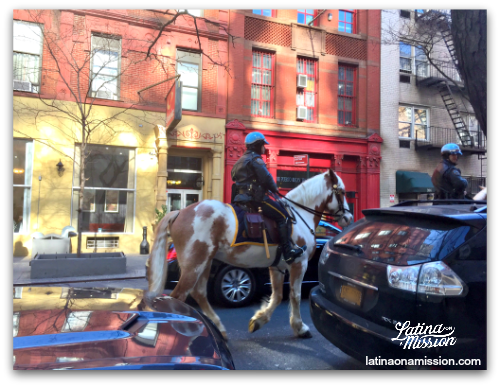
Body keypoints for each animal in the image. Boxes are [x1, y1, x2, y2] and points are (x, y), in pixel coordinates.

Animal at [146, 169, 354, 340]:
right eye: (342, 192)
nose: (349, 218)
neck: (300, 216)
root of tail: (180, 212)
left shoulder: (278, 266)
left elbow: (277, 295)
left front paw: (259, 320)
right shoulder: (299, 263)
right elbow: (295, 295)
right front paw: (300, 327)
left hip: (205, 263)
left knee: (199, 294)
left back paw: (219, 329)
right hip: (194, 265)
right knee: (178, 297)